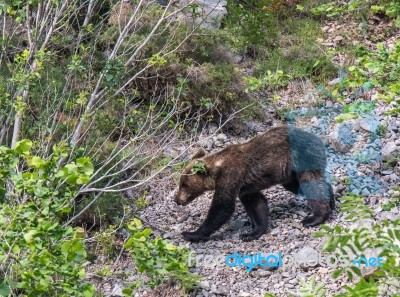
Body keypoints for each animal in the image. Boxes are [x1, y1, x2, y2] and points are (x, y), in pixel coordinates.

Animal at [175, 124, 334, 240]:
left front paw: (191, 233)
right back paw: (331, 199)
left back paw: (314, 218)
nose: (177, 200)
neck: (217, 169)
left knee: (310, 184)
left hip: (302, 157)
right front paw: (252, 233)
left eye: (184, 184)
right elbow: (256, 204)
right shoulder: (245, 187)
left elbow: (223, 206)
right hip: (288, 173)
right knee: (300, 185)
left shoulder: (231, 176)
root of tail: (319, 139)